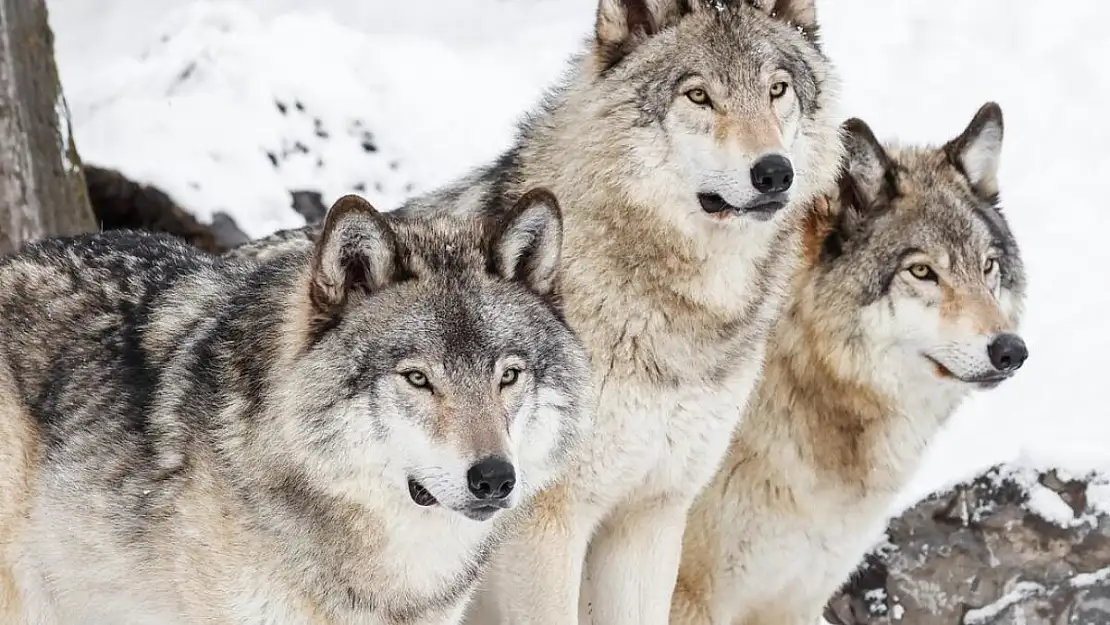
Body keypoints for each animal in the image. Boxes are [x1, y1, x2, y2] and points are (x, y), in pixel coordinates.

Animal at [231, 0, 839, 621]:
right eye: (698, 96)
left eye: (777, 90)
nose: (774, 172)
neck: (679, 320)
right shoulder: (548, 519)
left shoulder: (652, 514)